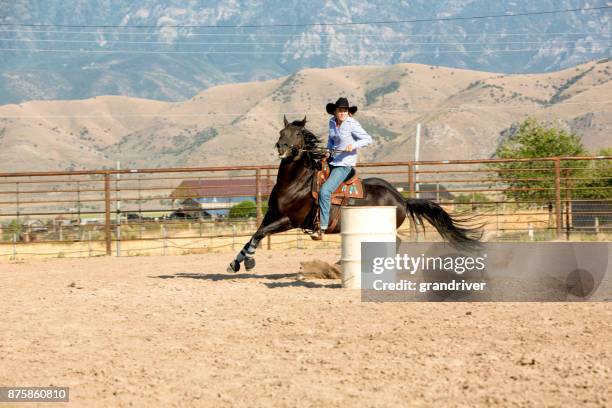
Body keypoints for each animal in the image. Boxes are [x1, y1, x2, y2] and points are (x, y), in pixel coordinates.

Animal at [227, 116, 480, 272]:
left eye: (298, 133)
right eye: (282, 131)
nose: (281, 147)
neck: (296, 183)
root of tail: (401, 199)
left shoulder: (290, 220)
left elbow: (259, 234)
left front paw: (249, 262)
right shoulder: (272, 214)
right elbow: (254, 234)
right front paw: (235, 262)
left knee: (395, 242)